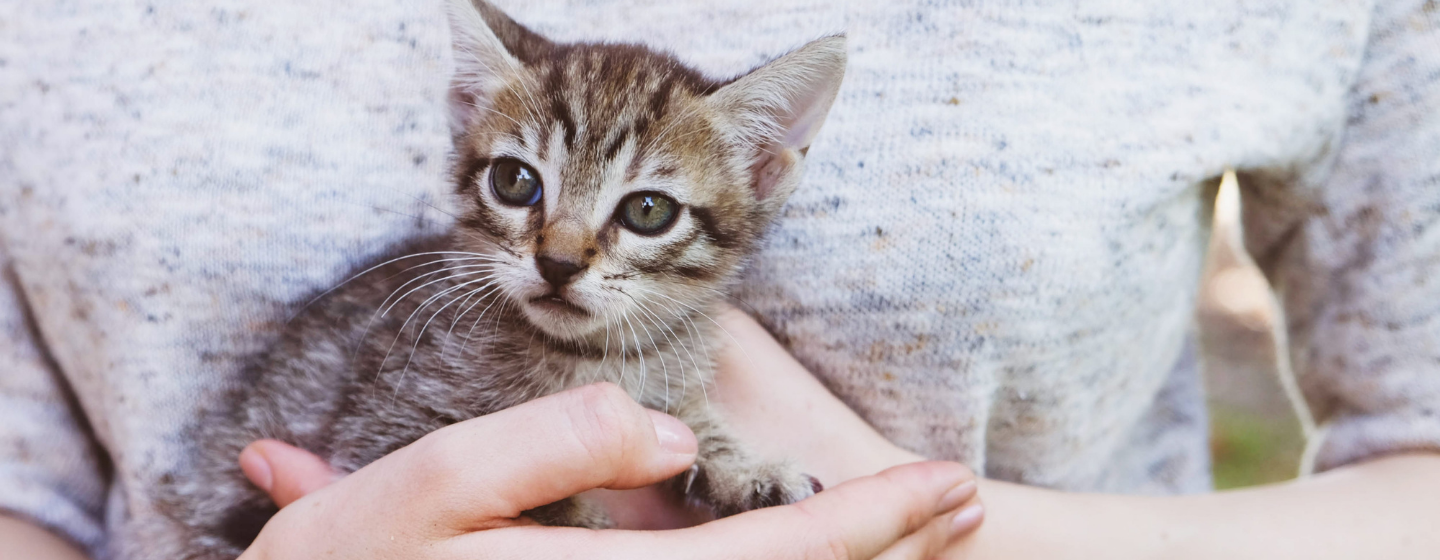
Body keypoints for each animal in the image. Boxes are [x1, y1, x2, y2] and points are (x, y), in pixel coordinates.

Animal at [164, 0, 846, 552]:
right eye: (515, 181)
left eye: (648, 211)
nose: (559, 262)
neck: (587, 359)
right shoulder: (381, 423)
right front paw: (574, 517)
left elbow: (690, 418)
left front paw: (745, 468)